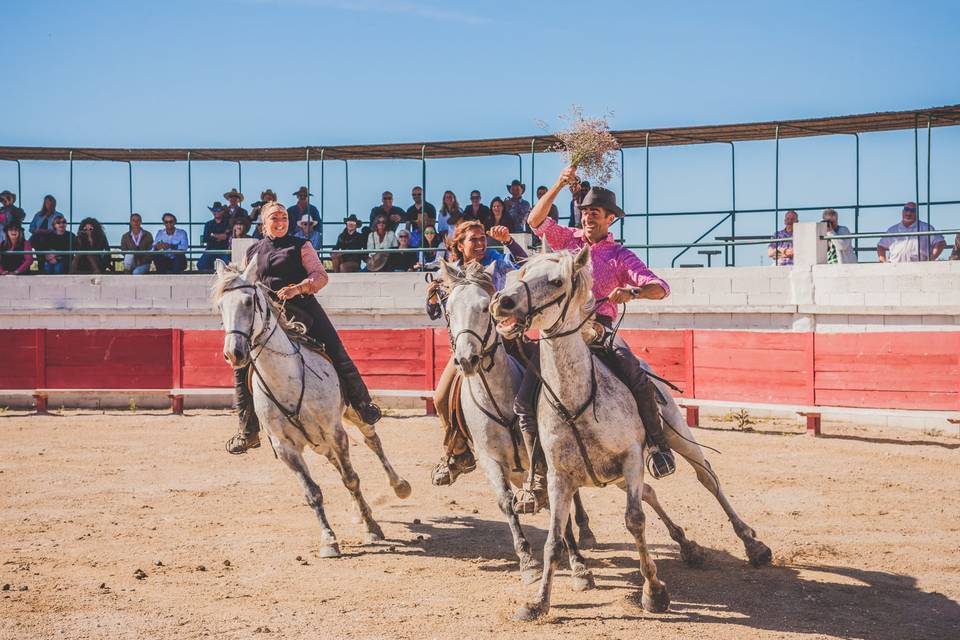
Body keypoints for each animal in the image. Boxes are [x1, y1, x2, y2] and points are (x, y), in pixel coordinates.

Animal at [212, 258, 410, 556]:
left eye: (248, 301)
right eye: (221, 306)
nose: (234, 353)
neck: (287, 380)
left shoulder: (335, 432)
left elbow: (352, 479)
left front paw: (371, 527)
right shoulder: (285, 448)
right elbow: (312, 492)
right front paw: (328, 539)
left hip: (352, 415)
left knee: (372, 442)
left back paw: (398, 486)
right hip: (320, 443)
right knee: (338, 464)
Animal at [440, 262, 592, 592]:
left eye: (484, 308)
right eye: (448, 310)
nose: (467, 359)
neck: (497, 397)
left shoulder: (547, 459)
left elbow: (560, 511)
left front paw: (579, 566)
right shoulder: (490, 461)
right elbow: (506, 504)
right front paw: (528, 562)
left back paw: (585, 529)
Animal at [492, 246, 768, 620]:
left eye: (557, 281)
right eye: (521, 275)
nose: (502, 302)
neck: (575, 399)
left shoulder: (632, 458)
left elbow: (635, 520)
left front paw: (654, 592)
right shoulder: (558, 477)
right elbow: (552, 540)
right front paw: (538, 602)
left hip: (677, 437)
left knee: (708, 479)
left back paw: (753, 545)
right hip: (619, 476)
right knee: (650, 491)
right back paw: (689, 547)